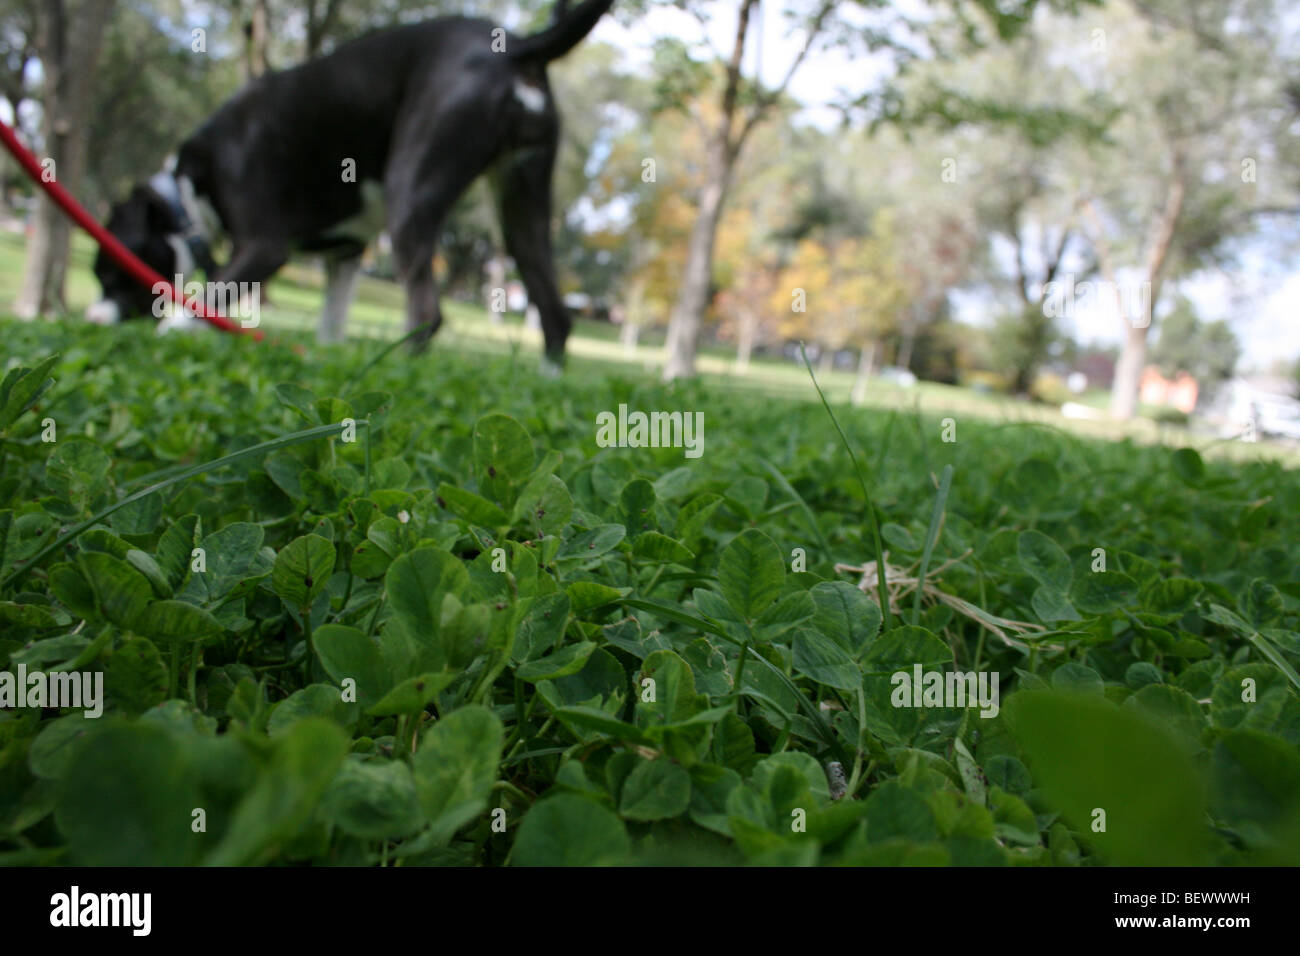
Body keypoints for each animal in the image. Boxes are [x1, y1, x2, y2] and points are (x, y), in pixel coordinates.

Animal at [90, 0, 608, 369]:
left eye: (111, 273)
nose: (93, 319)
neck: (187, 196)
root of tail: (518, 47)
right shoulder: (346, 251)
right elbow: (332, 319)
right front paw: (329, 364)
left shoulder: (263, 246)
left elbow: (208, 298)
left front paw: (171, 335)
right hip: (524, 200)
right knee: (555, 314)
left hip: (412, 186)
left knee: (427, 314)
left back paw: (397, 373)